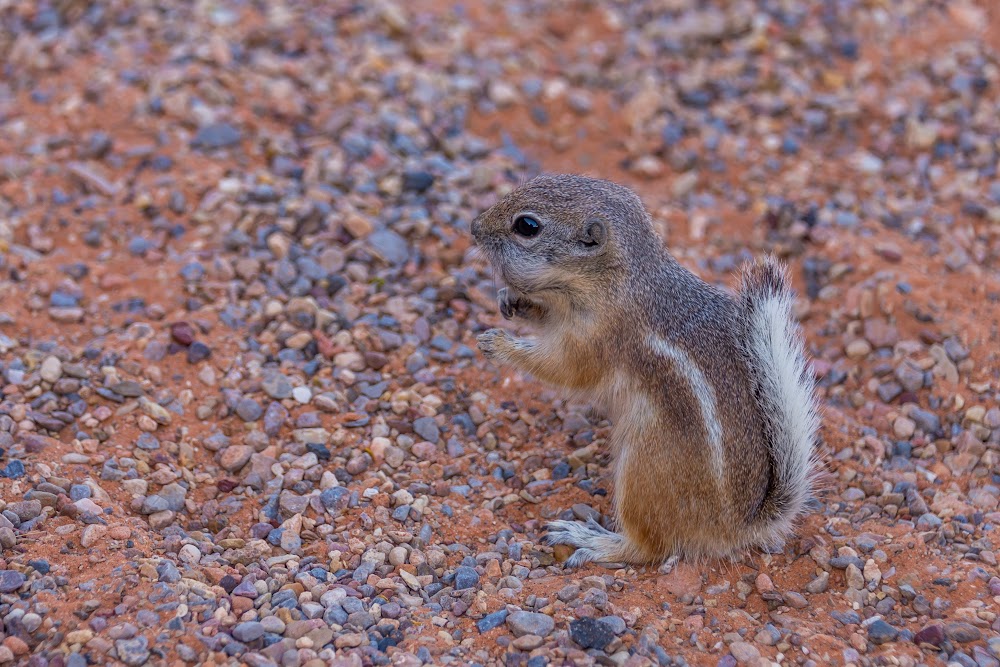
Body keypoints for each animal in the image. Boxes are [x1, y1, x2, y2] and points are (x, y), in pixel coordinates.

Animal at [468, 174, 820, 568]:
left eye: (527, 226)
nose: (474, 227)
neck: (615, 279)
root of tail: (736, 526)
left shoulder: (597, 337)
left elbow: (563, 369)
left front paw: (498, 343)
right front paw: (511, 300)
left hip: (642, 469)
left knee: (648, 548)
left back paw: (592, 540)